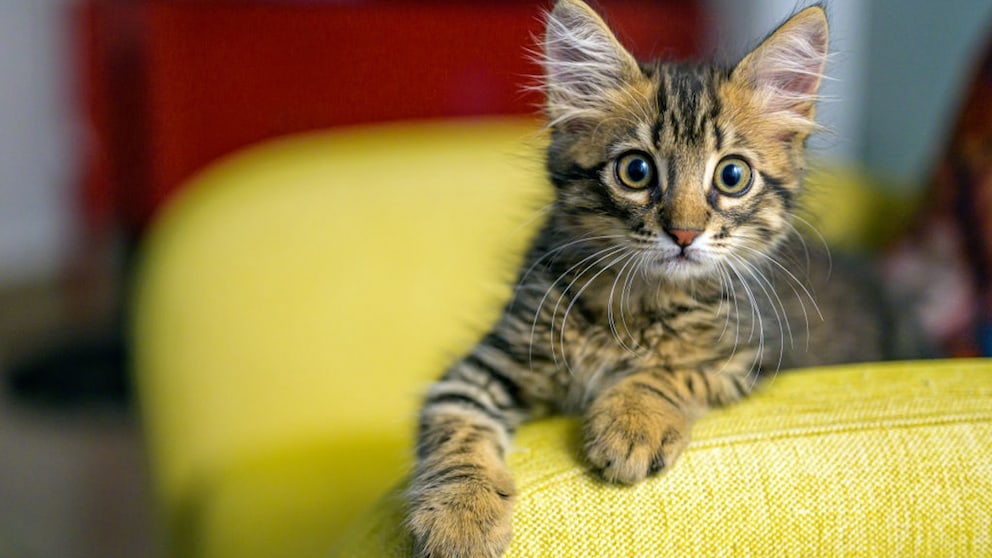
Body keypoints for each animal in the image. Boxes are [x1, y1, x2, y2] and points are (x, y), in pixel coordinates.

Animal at [404, 2, 924, 556]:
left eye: (732, 176)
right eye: (636, 170)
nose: (684, 233)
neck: (638, 303)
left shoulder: (753, 352)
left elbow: (671, 372)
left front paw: (634, 423)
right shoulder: (486, 365)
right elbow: (456, 428)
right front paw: (460, 515)